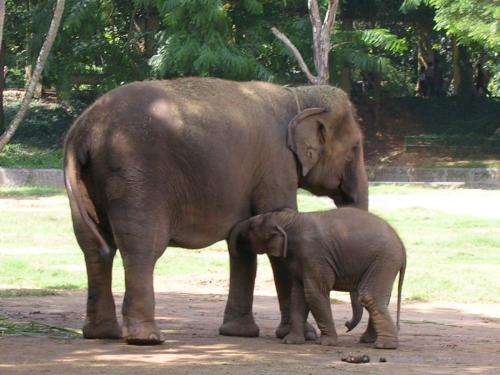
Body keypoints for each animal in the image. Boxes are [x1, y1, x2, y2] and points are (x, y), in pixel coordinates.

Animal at [63, 77, 368, 346]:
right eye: (355, 148)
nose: (348, 326)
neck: (300, 96)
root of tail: (83, 132)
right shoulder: (277, 162)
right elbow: (280, 226)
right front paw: (304, 336)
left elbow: (240, 240)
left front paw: (238, 333)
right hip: (135, 175)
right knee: (142, 248)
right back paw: (146, 339)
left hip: (88, 182)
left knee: (94, 247)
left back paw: (101, 334)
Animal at [229, 209, 404, 350]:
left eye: (251, 227)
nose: (347, 325)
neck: (290, 220)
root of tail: (401, 244)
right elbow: (298, 296)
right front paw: (291, 342)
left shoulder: (312, 254)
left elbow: (314, 293)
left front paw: (326, 343)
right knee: (379, 298)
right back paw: (370, 340)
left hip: (385, 259)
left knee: (369, 296)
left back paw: (384, 346)